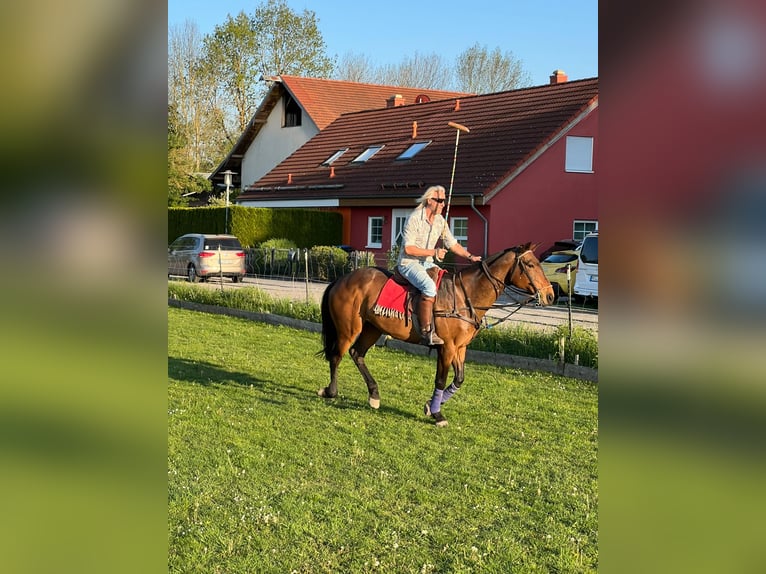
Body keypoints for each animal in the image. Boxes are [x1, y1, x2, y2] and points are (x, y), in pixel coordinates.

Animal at [316, 243, 556, 428]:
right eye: (531, 264)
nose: (550, 295)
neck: (465, 296)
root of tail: (341, 279)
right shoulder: (447, 347)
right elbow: (440, 379)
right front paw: (437, 413)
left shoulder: (460, 348)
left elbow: (458, 379)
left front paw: (430, 407)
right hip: (348, 328)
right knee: (337, 356)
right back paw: (331, 391)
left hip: (372, 328)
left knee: (357, 354)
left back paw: (374, 395)